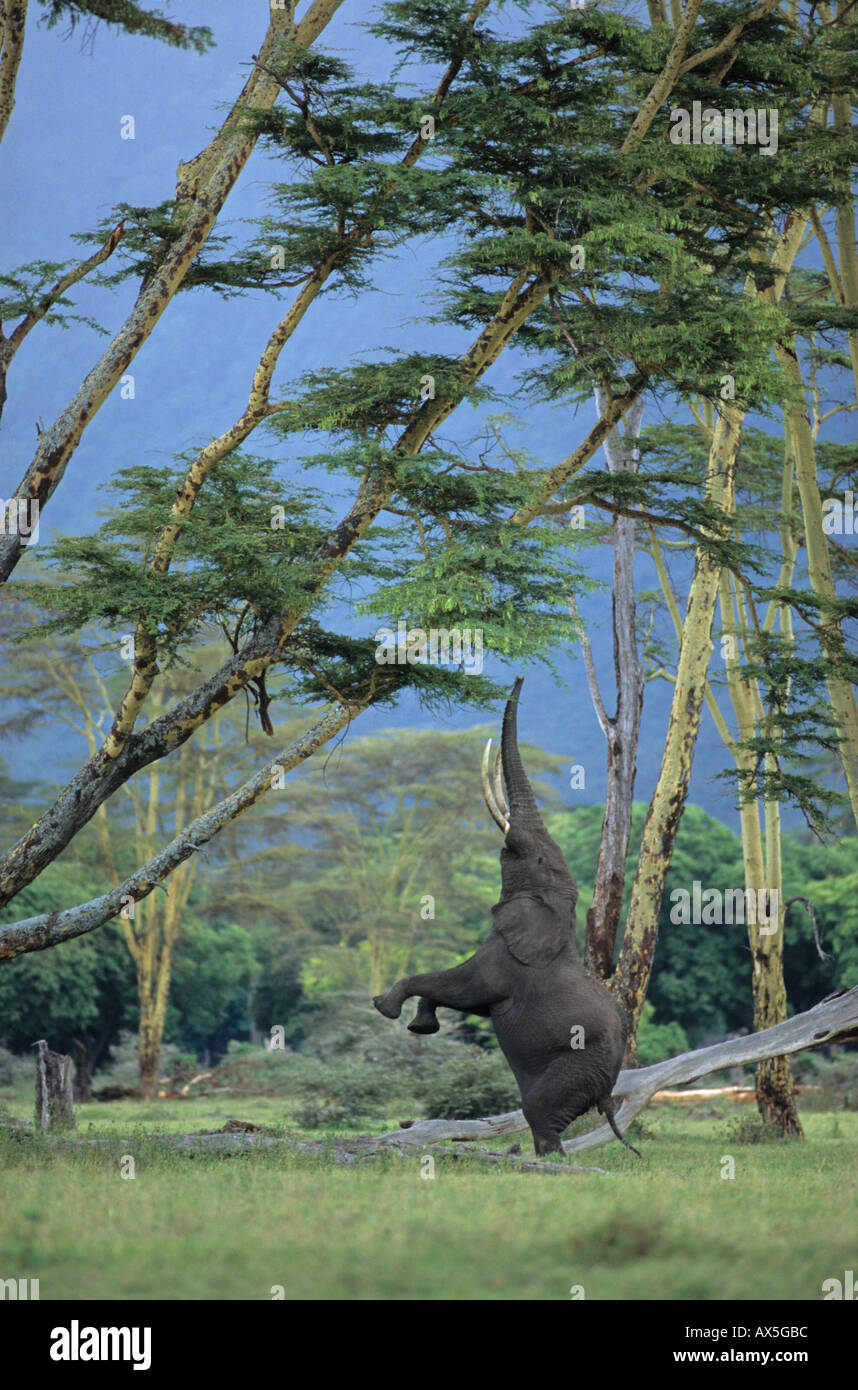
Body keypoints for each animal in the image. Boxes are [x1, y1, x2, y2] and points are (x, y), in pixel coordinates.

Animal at [372, 678, 636, 1156]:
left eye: (533, 857)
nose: (518, 679)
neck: (555, 910)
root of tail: (609, 1093)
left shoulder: (507, 964)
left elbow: (465, 985)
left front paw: (387, 1009)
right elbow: (470, 1000)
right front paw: (422, 1025)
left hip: (576, 1069)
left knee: (541, 1115)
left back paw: (546, 1162)